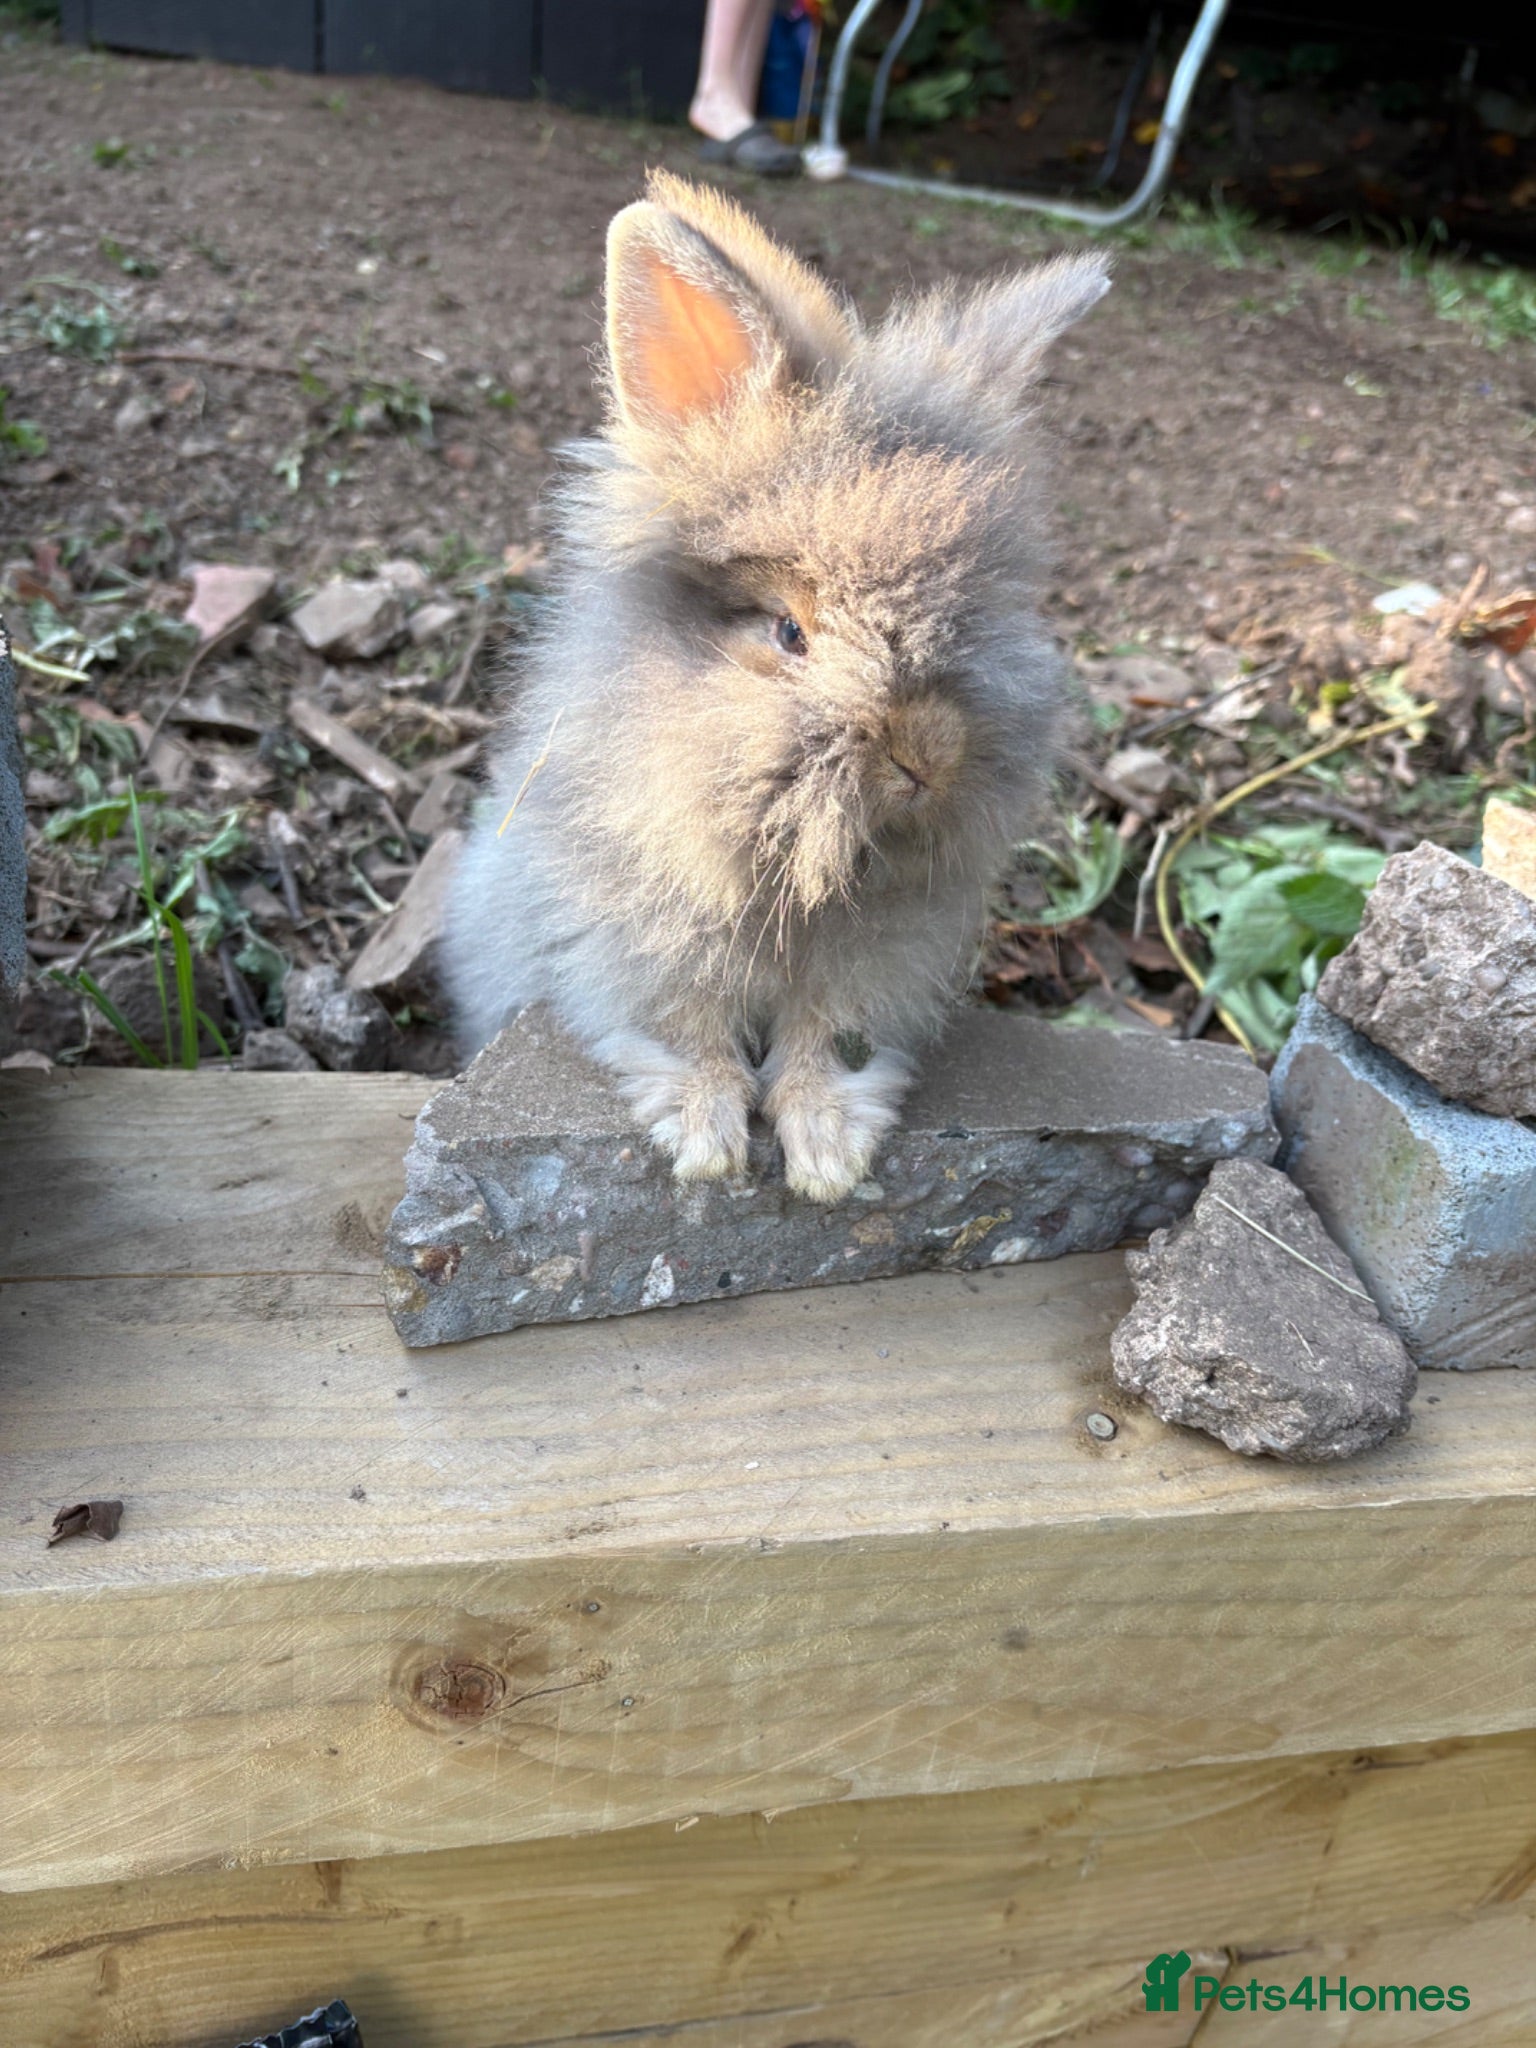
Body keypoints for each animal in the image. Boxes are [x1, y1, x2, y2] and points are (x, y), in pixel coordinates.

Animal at [446, 171, 1108, 1203]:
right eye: (791, 633)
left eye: (985, 607)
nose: (928, 756)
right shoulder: (634, 949)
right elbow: (689, 1038)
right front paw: (707, 1143)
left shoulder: (875, 963)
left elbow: (827, 1043)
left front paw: (829, 1155)